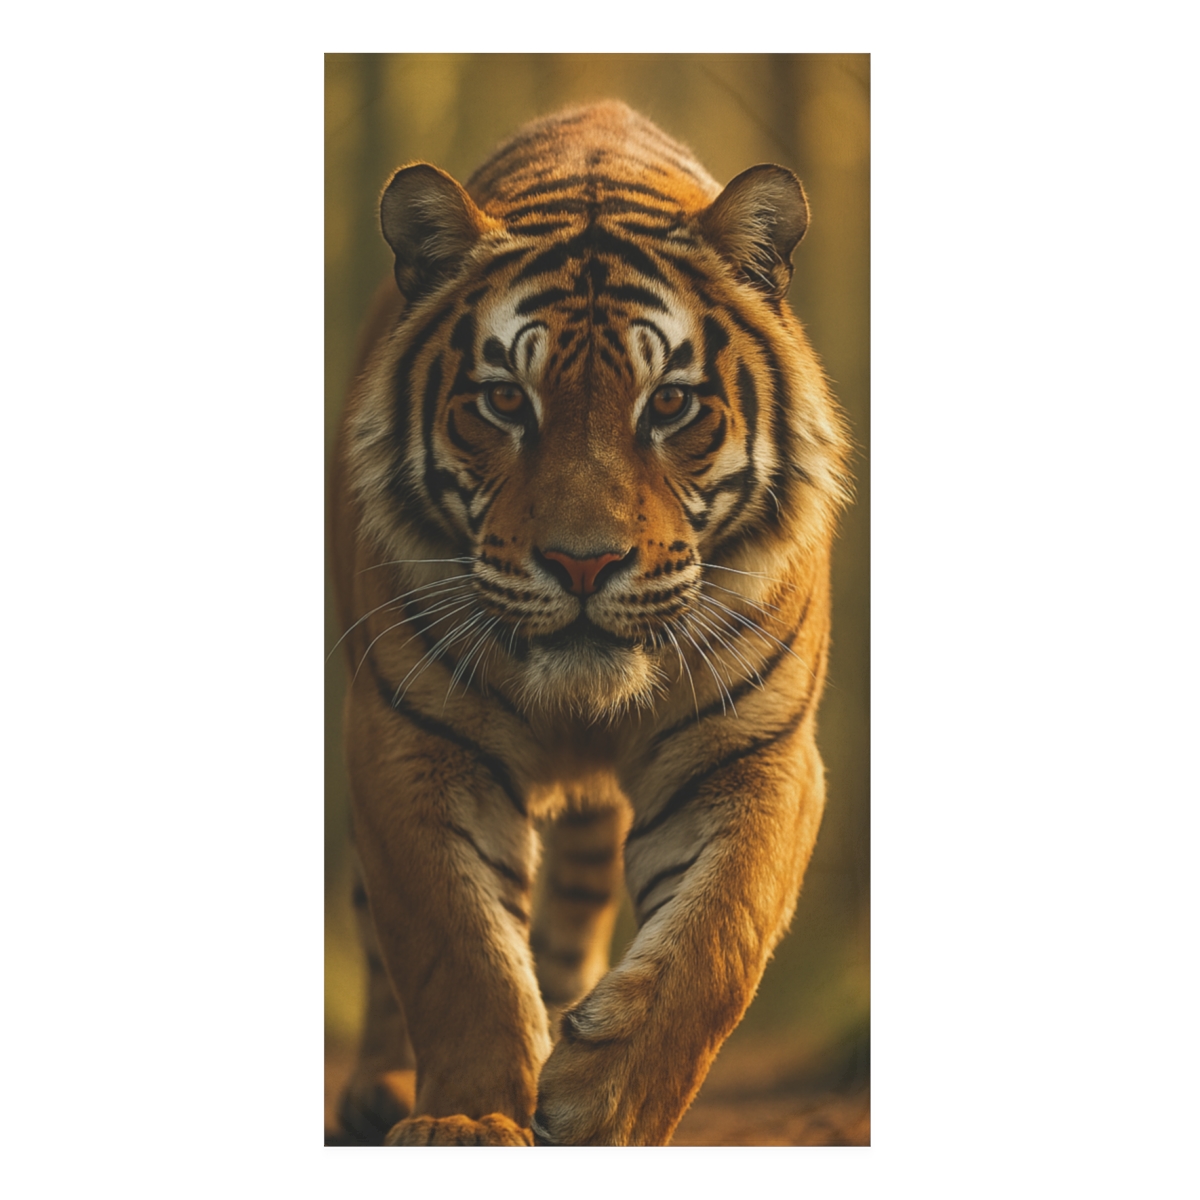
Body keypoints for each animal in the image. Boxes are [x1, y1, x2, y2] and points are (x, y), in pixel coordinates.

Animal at [329, 100, 851, 1146]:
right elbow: (457, 949)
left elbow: (715, 939)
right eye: (503, 401)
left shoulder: (757, 749)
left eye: (672, 404)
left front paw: (601, 1106)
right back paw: (381, 1090)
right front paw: (470, 1120)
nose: (581, 563)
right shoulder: (410, 738)